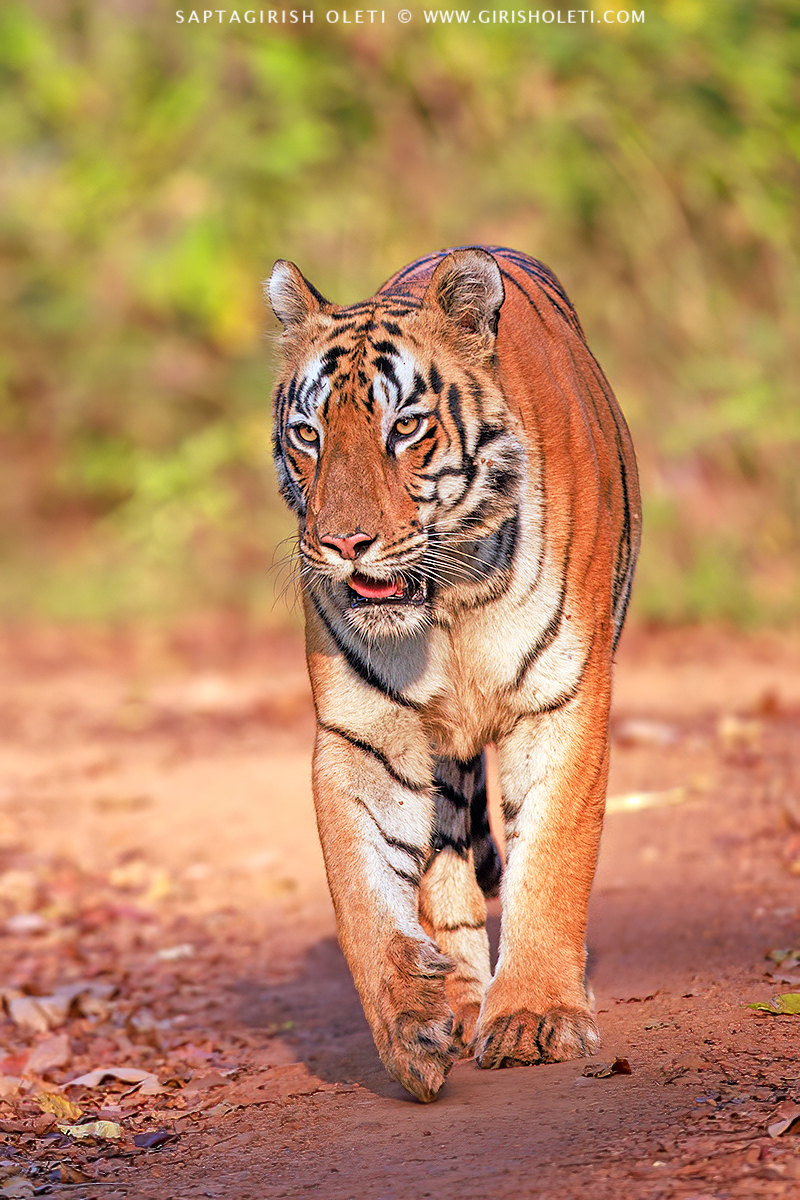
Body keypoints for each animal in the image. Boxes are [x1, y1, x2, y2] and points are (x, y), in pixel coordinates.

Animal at [267, 246, 641, 1103]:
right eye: (308, 434)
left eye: (405, 427)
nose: (343, 544)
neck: (450, 603)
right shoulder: (366, 733)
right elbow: (364, 894)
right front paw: (412, 1022)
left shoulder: (562, 701)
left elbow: (552, 857)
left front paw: (536, 1018)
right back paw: (462, 996)